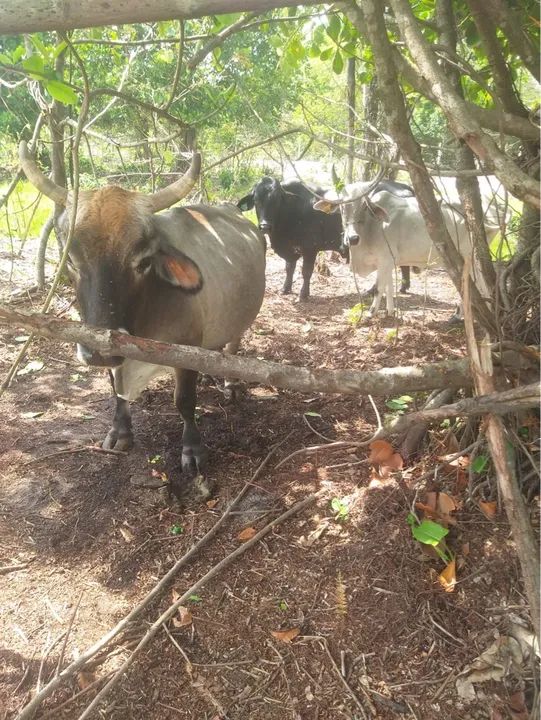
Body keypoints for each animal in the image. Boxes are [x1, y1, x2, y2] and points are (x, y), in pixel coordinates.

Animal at [19, 142, 266, 477]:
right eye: (71, 260)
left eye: (144, 261)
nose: (97, 351)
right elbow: (116, 391)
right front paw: (119, 432)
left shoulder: (185, 348)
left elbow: (184, 401)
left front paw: (192, 449)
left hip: (241, 320)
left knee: (233, 345)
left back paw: (229, 382)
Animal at [237, 177, 415, 300]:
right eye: (256, 200)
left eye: (276, 201)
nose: (265, 226)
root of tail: (403, 187)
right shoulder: (292, 249)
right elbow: (289, 268)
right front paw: (285, 288)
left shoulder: (310, 248)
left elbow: (306, 272)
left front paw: (303, 294)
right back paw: (402, 287)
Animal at [314, 179, 501, 317]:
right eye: (343, 206)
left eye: (365, 206)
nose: (352, 238)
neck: (373, 226)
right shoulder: (389, 261)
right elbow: (388, 286)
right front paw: (389, 312)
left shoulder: (385, 259)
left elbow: (379, 288)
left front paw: (371, 313)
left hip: (465, 256)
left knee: (469, 283)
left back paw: (459, 316)